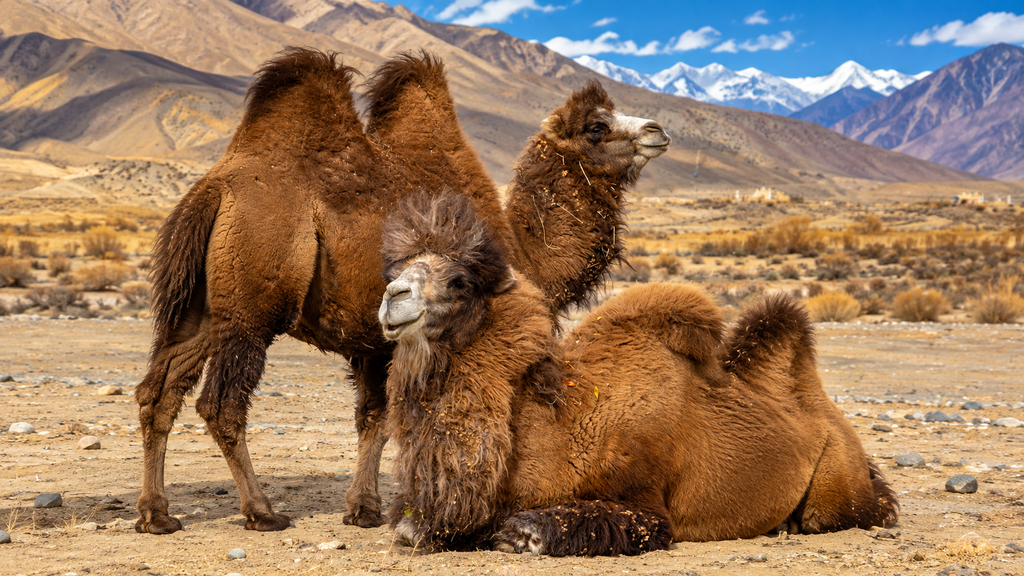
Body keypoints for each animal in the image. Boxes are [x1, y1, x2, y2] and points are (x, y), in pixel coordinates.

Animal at [134, 48, 670, 534]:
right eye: (596, 127)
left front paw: (362, 508)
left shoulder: (375, 341)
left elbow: (373, 417)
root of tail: (214, 190)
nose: (657, 130)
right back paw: (261, 512)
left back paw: (156, 515)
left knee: (159, 389)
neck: (520, 248)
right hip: (251, 306)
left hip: (201, 310)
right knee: (221, 404)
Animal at [378, 192, 899, 556]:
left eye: (459, 281)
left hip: (836, 483)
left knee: (849, 512)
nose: (392, 296)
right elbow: (407, 525)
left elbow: (524, 529)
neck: (551, 424)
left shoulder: (643, 503)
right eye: (399, 268)